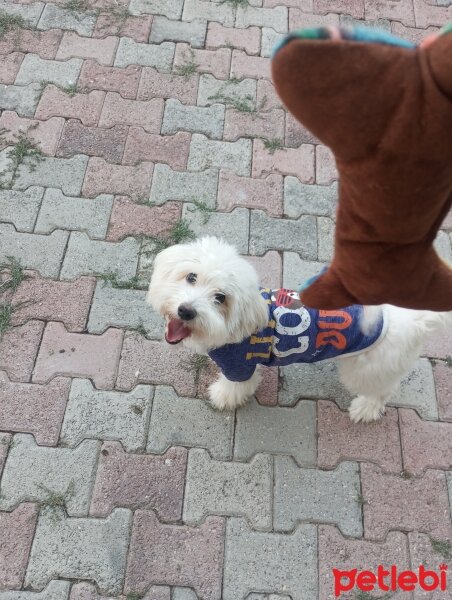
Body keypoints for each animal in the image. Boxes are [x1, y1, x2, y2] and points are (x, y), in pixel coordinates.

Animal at [147, 234, 448, 422]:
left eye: (221, 298)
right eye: (191, 277)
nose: (186, 310)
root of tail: (414, 318)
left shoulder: (240, 366)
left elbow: (235, 386)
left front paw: (222, 397)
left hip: (368, 369)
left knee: (382, 390)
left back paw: (365, 408)